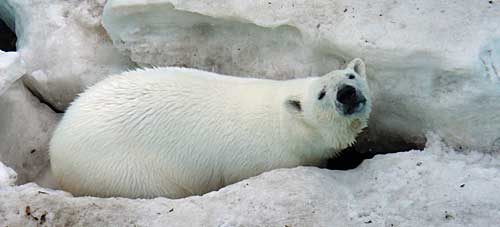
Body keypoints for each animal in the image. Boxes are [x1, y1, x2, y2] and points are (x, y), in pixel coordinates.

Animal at [49, 58, 372, 199]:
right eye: (321, 94)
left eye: (351, 75)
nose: (347, 93)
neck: (287, 126)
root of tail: (56, 143)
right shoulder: (259, 160)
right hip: (121, 169)